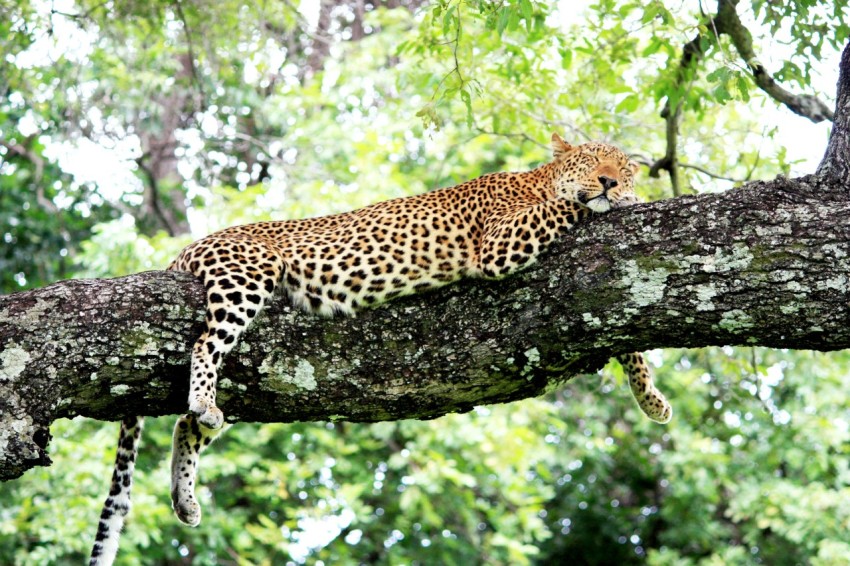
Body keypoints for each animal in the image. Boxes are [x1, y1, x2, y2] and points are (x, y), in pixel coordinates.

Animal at [88, 134, 672, 565]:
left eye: (623, 165)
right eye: (593, 159)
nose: (610, 179)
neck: (537, 177)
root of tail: (189, 246)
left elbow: (627, 339)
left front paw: (651, 400)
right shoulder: (501, 242)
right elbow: (568, 209)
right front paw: (623, 201)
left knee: (186, 425)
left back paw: (186, 494)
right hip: (246, 277)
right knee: (204, 346)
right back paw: (204, 403)